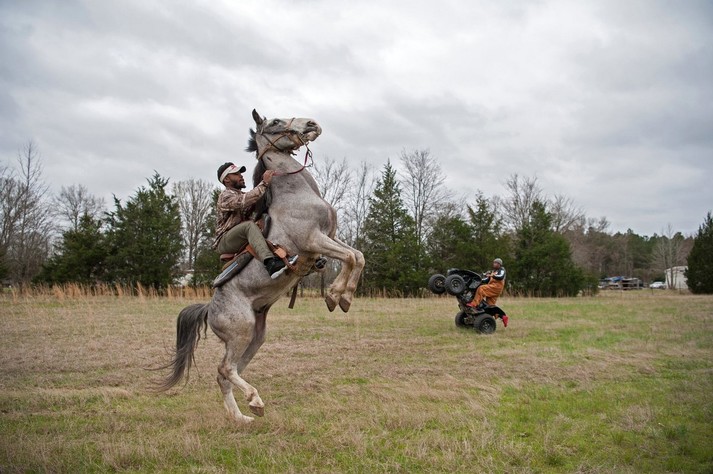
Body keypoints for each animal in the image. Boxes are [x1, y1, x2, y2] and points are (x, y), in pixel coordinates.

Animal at [157, 110, 365, 423]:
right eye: (276, 122)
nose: (312, 124)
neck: (296, 194)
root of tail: (209, 309)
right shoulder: (313, 239)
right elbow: (351, 258)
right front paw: (334, 296)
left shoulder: (330, 237)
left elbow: (358, 256)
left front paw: (344, 297)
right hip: (240, 332)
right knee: (225, 369)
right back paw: (254, 400)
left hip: (255, 337)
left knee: (225, 375)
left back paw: (242, 417)